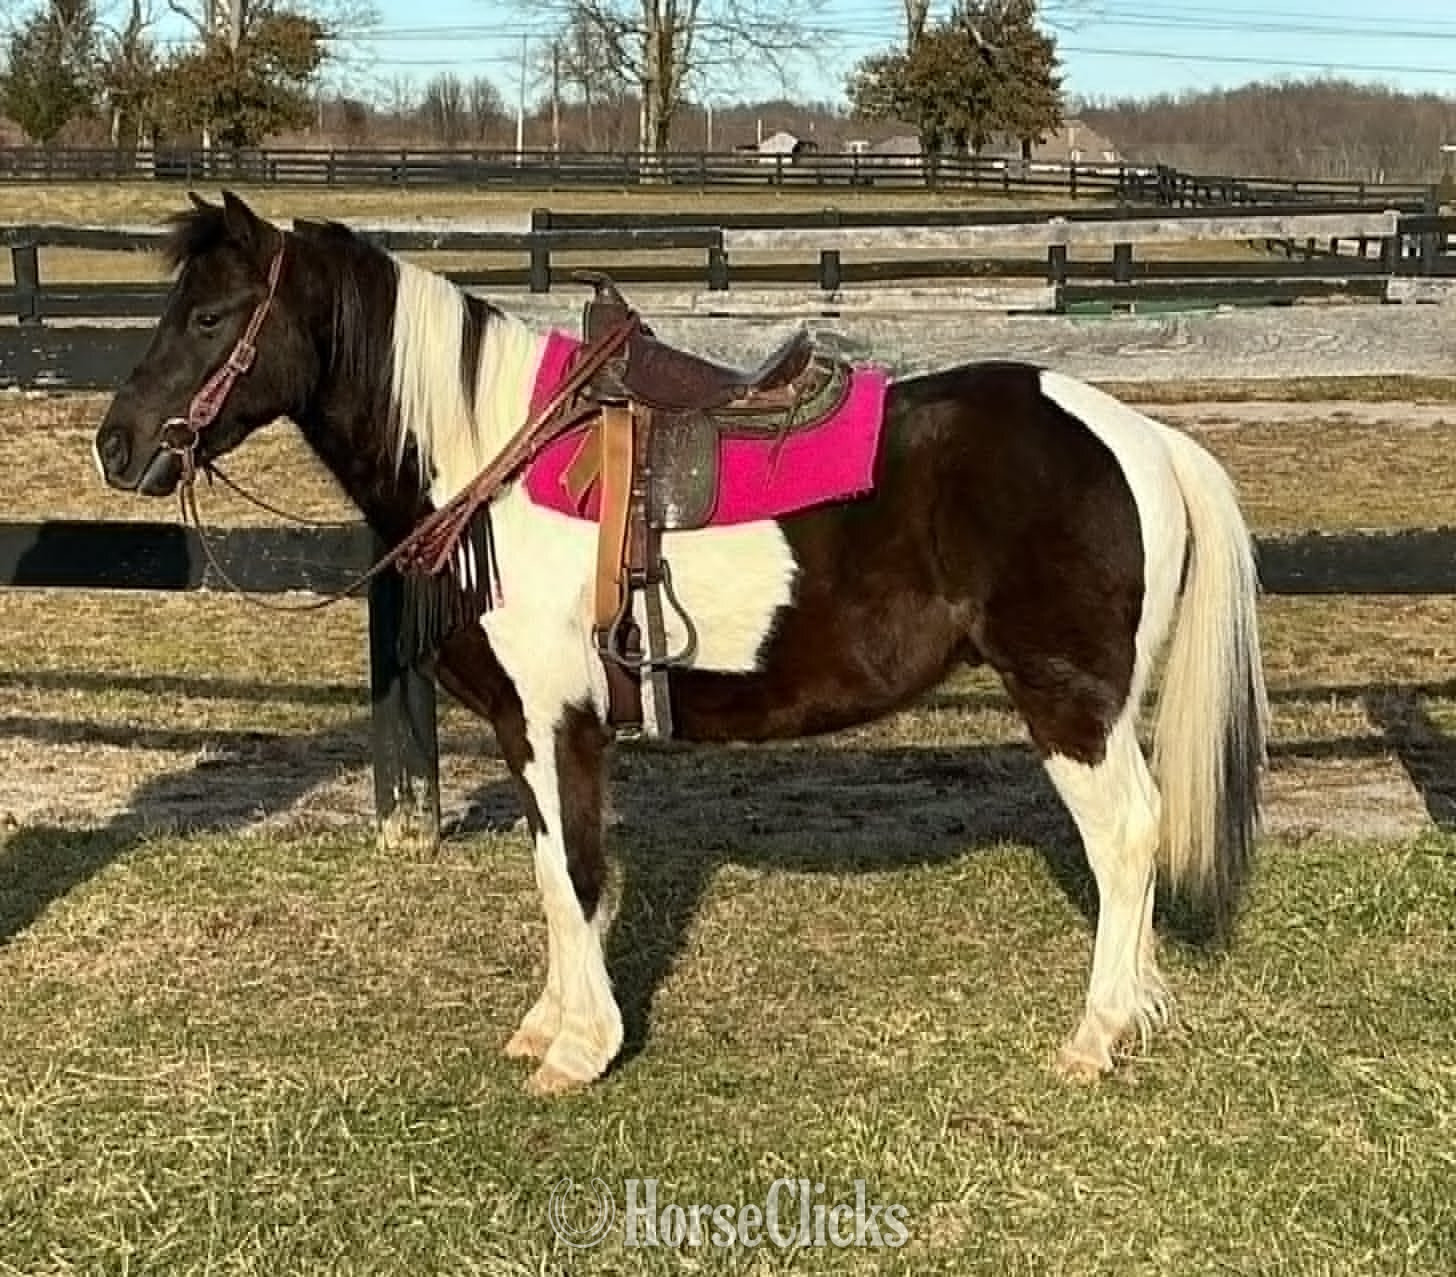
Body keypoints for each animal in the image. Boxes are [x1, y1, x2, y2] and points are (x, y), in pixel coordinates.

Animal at [93, 190, 1268, 1096]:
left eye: (211, 317)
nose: (117, 445)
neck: (493, 461)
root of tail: (1140, 436)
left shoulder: (553, 719)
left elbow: (572, 871)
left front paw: (579, 1049)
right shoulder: (535, 729)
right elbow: (556, 870)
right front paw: (549, 1021)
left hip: (1071, 702)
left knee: (1127, 838)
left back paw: (1098, 1034)